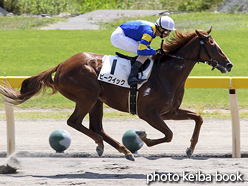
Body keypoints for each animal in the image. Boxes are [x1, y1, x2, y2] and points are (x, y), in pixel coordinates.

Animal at [0, 28, 232, 161]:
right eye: (212, 45)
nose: (228, 64)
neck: (167, 73)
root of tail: (62, 64)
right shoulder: (148, 113)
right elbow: (169, 134)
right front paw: (143, 137)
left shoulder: (169, 111)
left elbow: (198, 118)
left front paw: (190, 149)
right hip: (87, 97)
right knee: (74, 122)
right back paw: (106, 145)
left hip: (97, 100)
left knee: (96, 127)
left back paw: (123, 150)